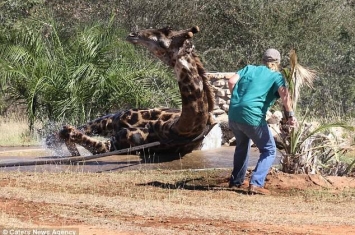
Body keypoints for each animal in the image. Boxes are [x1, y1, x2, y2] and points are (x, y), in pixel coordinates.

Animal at [45, 26, 216, 156]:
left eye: (165, 31)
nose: (132, 34)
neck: (175, 128)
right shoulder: (116, 123)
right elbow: (70, 131)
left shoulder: (117, 144)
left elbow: (71, 132)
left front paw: (72, 151)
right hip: (114, 117)